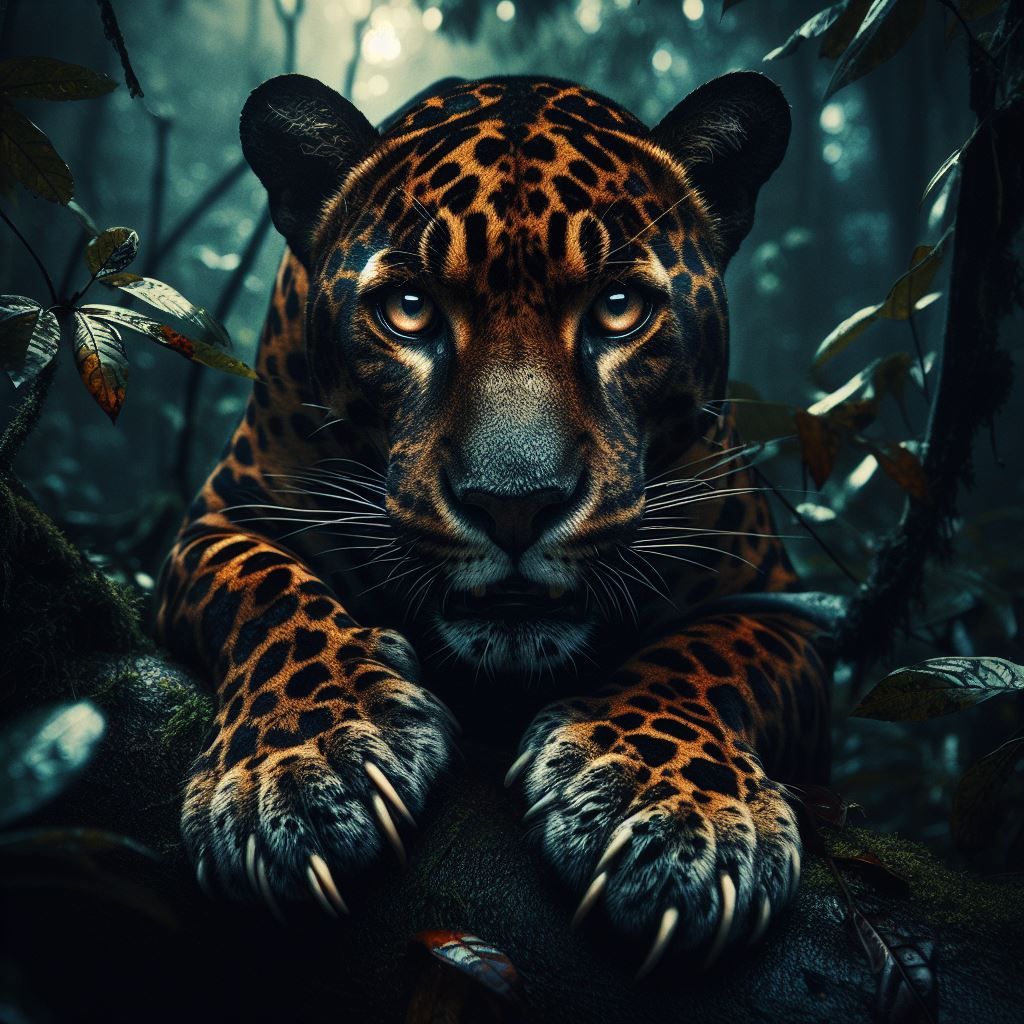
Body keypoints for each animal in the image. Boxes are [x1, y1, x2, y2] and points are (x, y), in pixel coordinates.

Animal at [155, 70, 833, 977]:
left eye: (620, 308)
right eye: (409, 310)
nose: (516, 501)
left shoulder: (773, 597)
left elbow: (715, 653)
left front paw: (669, 808)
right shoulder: (224, 516)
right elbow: (266, 594)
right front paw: (302, 770)